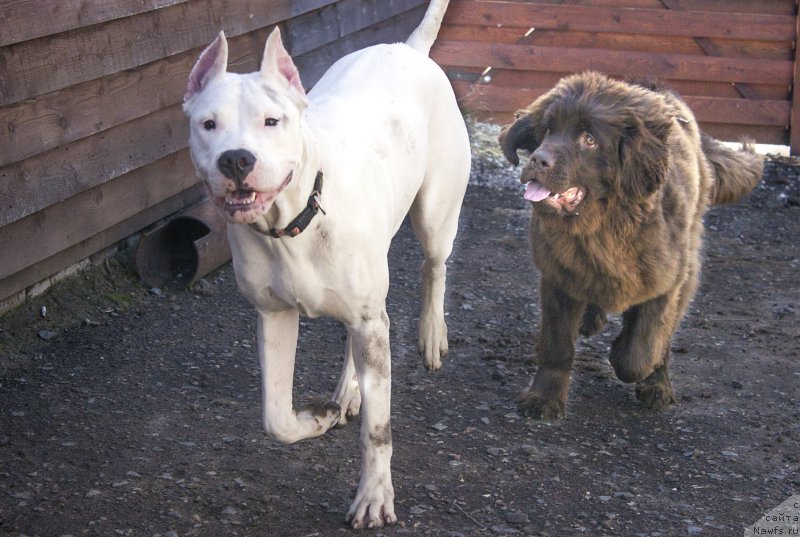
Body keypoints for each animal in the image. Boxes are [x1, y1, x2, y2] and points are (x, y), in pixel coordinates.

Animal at [183, 0, 468, 528]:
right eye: (208, 125)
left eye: (272, 122)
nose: (236, 159)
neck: (292, 223)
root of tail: (408, 47)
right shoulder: (275, 316)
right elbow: (276, 418)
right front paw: (315, 419)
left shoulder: (369, 319)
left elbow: (378, 430)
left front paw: (374, 496)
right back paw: (349, 391)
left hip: (436, 215)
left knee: (434, 268)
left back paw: (431, 333)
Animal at [496, 71, 764, 416]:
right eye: (548, 130)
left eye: (589, 140)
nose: (539, 160)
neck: (603, 228)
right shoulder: (558, 277)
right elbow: (558, 345)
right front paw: (544, 399)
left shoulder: (665, 282)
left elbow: (639, 352)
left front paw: (624, 355)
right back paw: (592, 319)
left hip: (687, 267)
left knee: (662, 342)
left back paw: (658, 386)